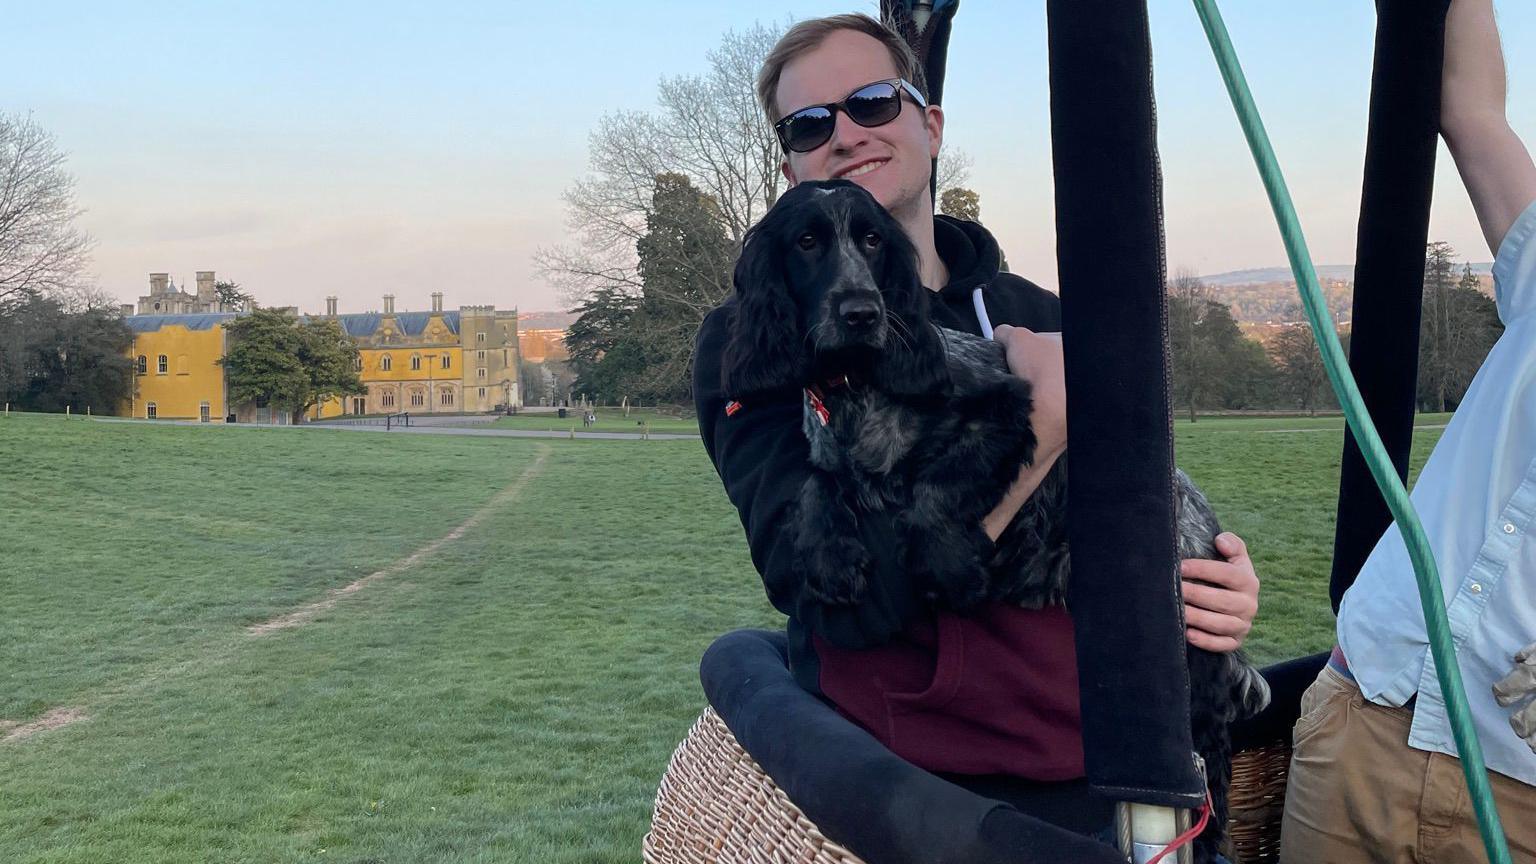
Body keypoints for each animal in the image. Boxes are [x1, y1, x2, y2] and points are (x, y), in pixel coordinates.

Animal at [718, 178, 1271, 854]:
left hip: (1195, 649)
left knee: (1211, 752)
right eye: (805, 243)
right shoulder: (829, 456)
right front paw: (830, 558)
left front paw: (949, 568)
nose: (862, 314)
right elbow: (816, 487)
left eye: (872, 241)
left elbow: (934, 491)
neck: (856, 388)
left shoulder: (1003, 411)